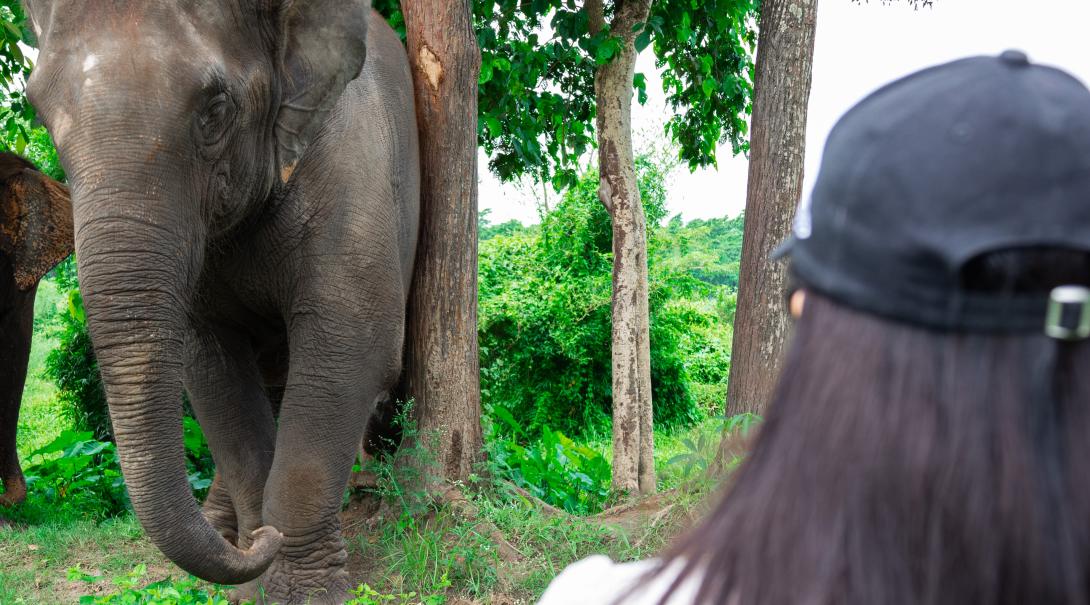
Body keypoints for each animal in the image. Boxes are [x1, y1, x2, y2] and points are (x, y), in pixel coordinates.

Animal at [22, 2, 420, 601]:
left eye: (215, 111)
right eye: (42, 117)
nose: (264, 540)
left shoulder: (353, 166)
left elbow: (354, 347)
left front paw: (296, 589)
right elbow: (212, 371)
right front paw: (254, 576)